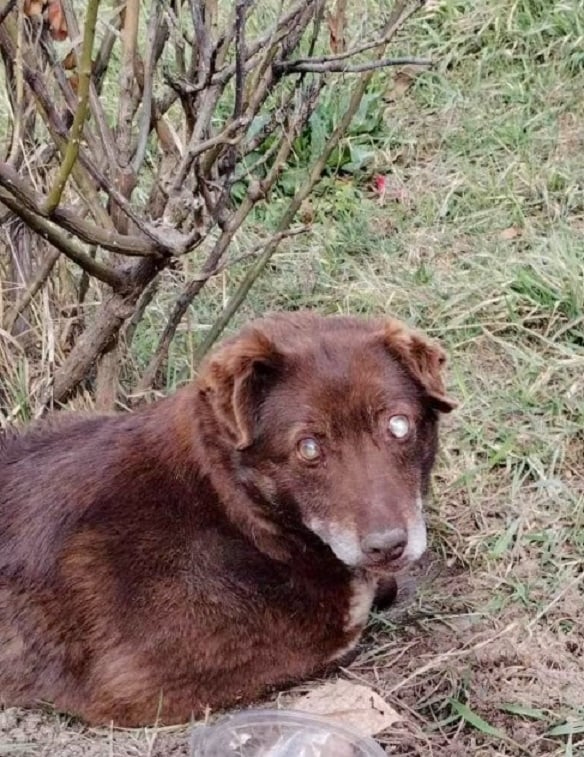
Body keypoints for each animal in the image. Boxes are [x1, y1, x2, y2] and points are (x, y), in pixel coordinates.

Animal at [0, 310, 456, 724]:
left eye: (398, 425)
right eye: (308, 448)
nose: (388, 546)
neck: (232, 508)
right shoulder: (141, 681)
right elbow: (345, 631)